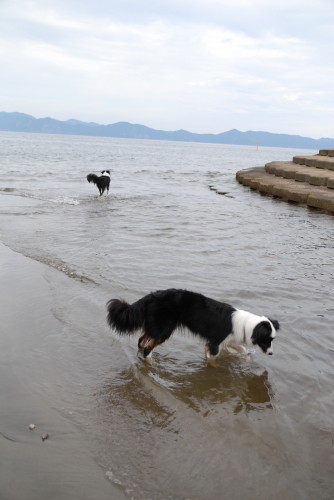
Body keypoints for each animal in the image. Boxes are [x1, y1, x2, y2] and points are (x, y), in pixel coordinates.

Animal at [107, 290, 280, 360]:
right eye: (267, 340)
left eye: (272, 340)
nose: (272, 353)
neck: (246, 326)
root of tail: (152, 296)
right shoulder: (215, 342)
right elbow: (213, 357)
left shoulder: (226, 341)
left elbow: (243, 350)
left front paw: (247, 358)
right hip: (165, 329)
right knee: (148, 347)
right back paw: (150, 361)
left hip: (156, 326)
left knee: (141, 340)